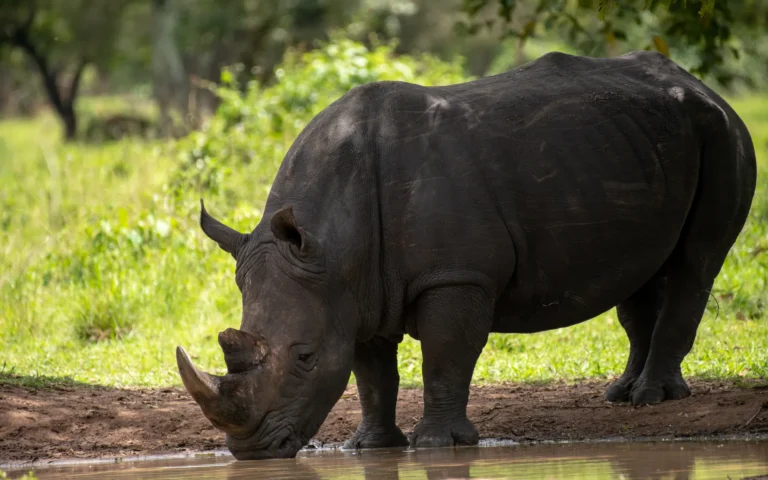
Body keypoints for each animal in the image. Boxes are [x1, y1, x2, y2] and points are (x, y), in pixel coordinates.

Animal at [175, 50, 756, 460]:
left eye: (305, 358)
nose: (250, 450)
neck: (333, 244)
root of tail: (703, 86)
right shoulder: (352, 290)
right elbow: (372, 373)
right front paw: (371, 447)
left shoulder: (455, 275)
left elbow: (446, 354)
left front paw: (438, 446)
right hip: (642, 144)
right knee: (641, 271)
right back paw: (625, 393)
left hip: (724, 134)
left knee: (697, 260)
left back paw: (652, 398)